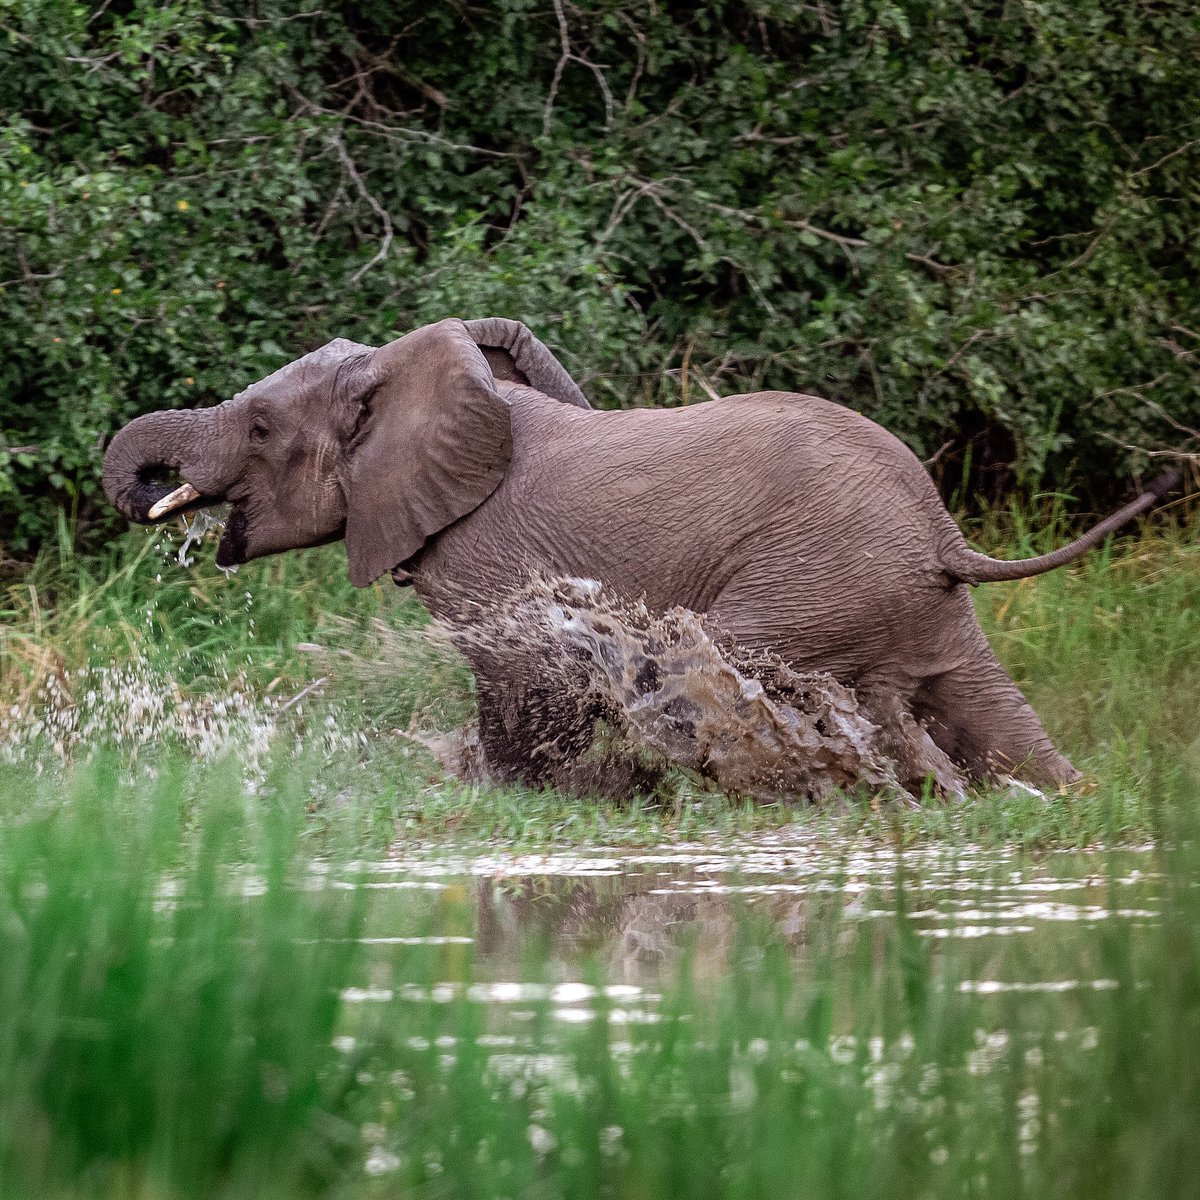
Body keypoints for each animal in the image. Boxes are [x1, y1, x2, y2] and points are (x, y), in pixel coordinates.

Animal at [103, 317, 1179, 794]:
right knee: (986, 709)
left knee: (711, 666)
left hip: (808, 578)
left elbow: (526, 675)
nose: (150, 487)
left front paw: (503, 791)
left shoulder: (486, 557)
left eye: (259, 425)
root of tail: (944, 534)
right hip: (902, 600)